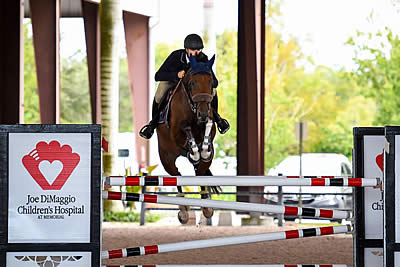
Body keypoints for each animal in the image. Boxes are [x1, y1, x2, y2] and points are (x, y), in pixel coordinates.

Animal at [156, 55, 219, 225]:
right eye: (192, 83)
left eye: (211, 82)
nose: (202, 113)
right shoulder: (177, 133)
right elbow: (186, 127)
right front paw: (195, 151)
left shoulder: (209, 123)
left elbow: (209, 125)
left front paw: (203, 150)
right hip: (167, 158)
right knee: (176, 175)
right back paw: (183, 211)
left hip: (203, 165)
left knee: (200, 173)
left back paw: (207, 207)